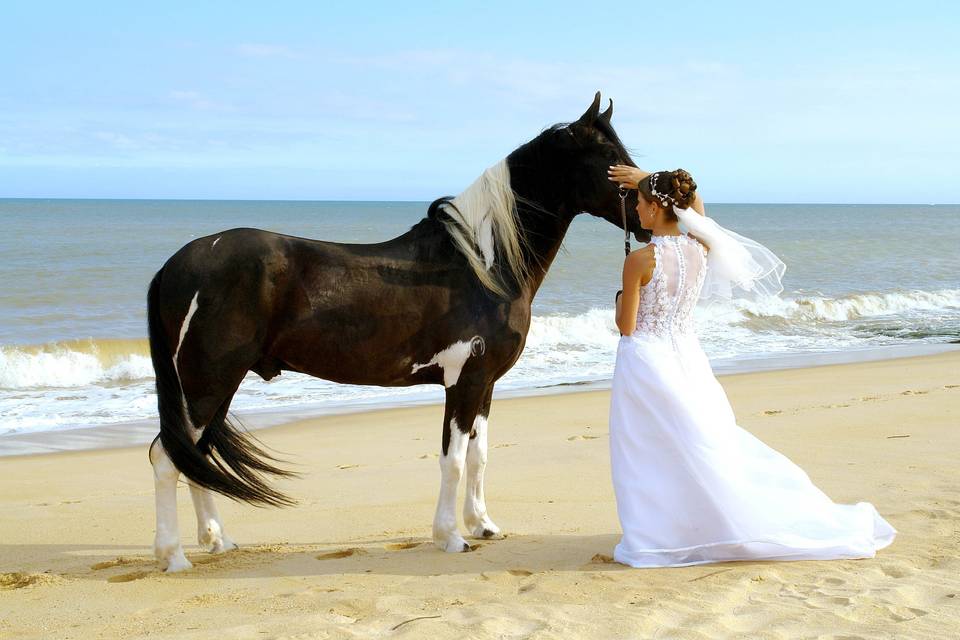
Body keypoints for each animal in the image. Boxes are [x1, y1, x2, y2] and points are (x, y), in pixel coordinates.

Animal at [148, 90, 644, 568]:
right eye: (607, 156)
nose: (646, 215)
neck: (482, 266)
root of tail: (174, 266)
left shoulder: (485, 383)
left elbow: (480, 456)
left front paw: (482, 525)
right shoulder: (463, 381)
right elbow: (453, 460)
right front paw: (450, 537)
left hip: (218, 384)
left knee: (195, 456)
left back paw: (218, 541)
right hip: (207, 383)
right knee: (167, 456)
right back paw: (173, 556)